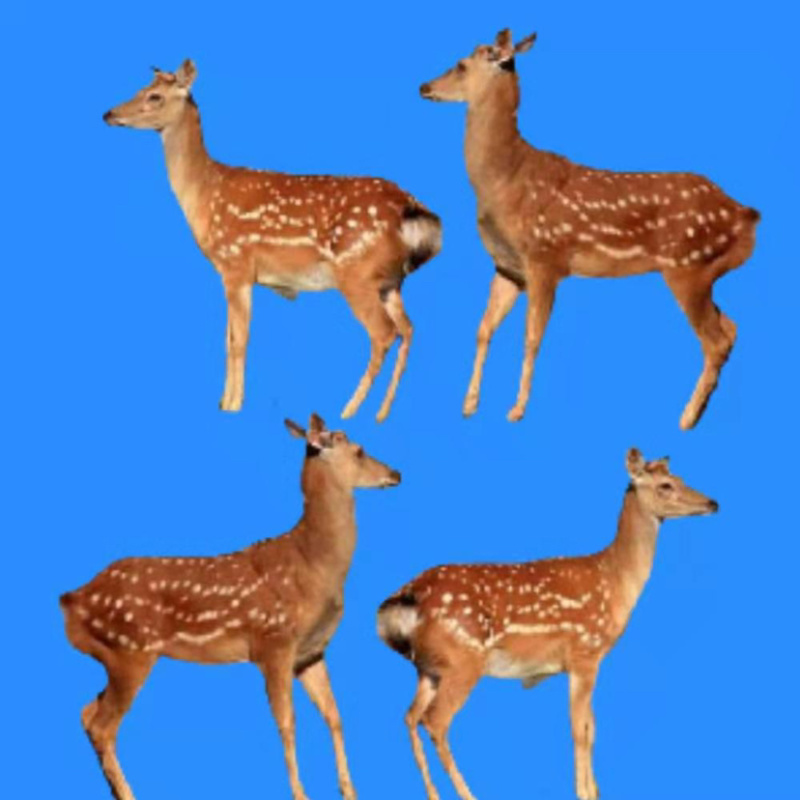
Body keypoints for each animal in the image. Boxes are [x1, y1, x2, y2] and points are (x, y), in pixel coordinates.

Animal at [61, 414, 401, 800]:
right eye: (359, 450)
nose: (396, 473)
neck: (314, 566)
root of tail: (71, 600)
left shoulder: (310, 652)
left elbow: (335, 715)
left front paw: (350, 790)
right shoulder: (273, 642)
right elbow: (287, 723)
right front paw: (301, 794)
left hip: (116, 654)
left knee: (87, 712)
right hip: (130, 649)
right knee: (103, 726)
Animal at [103, 60, 441, 420]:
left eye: (154, 96)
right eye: (140, 89)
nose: (109, 113)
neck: (205, 192)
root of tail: (411, 208)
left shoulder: (236, 264)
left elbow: (238, 340)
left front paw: (233, 406)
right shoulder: (233, 273)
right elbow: (227, 339)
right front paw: (223, 402)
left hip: (356, 274)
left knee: (383, 333)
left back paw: (348, 411)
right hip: (390, 281)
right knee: (408, 329)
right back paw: (381, 414)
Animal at [378, 448, 718, 800]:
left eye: (680, 477)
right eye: (665, 485)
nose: (712, 503)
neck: (615, 580)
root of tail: (406, 597)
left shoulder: (584, 662)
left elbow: (592, 728)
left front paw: (595, 791)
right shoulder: (585, 652)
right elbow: (580, 730)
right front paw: (583, 792)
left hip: (429, 668)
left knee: (409, 717)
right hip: (464, 659)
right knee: (435, 721)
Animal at [420, 29, 759, 429]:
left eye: (460, 64)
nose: (424, 86)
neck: (505, 181)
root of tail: (747, 215)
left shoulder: (545, 258)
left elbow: (531, 337)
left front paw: (516, 410)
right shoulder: (508, 267)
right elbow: (482, 329)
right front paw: (469, 405)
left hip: (687, 265)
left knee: (715, 340)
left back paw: (686, 418)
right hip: (704, 269)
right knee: (731, 328)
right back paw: (700, 409)